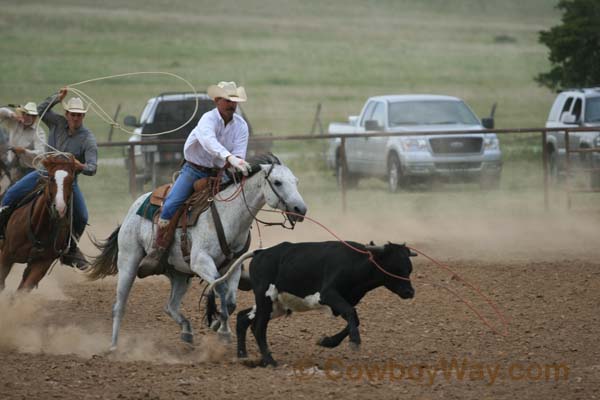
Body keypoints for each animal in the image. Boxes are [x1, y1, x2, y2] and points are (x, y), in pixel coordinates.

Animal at [0, 154, 82, 290]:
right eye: (51, 178)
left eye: (71, 180)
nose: (59, 208)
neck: (39, 227)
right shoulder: (6, 256)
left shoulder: (41, 264)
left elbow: (23, 290)